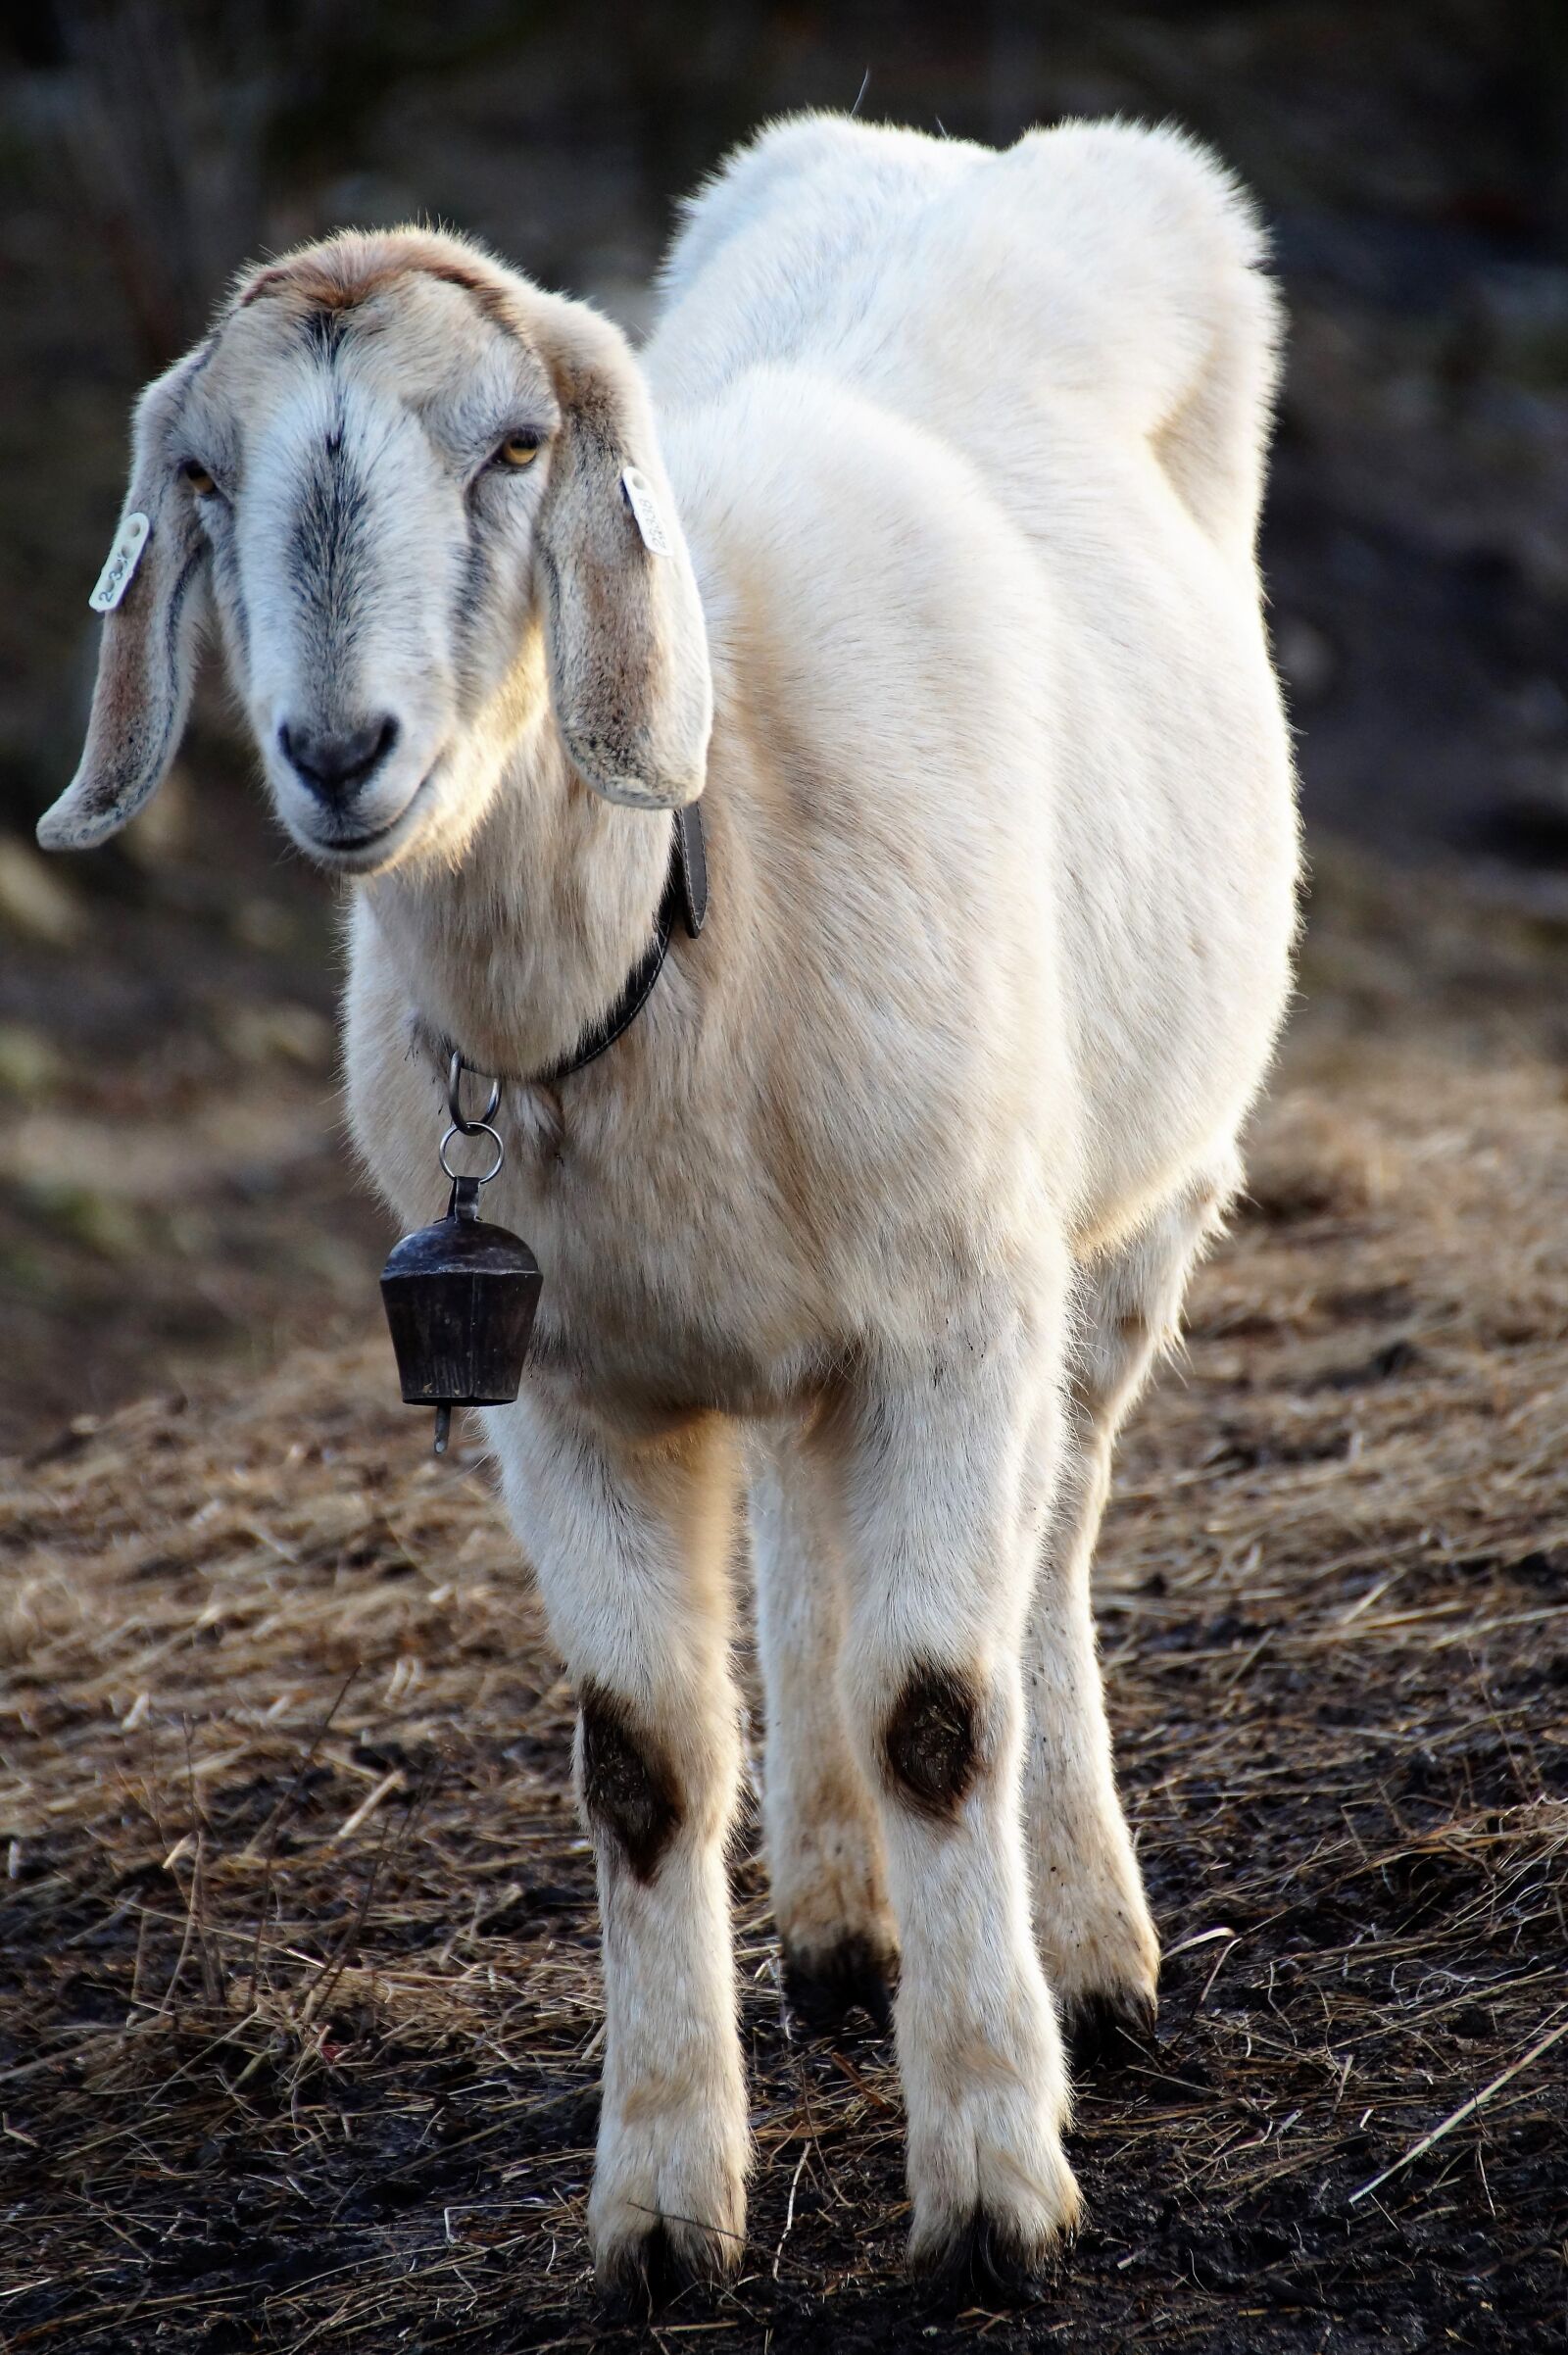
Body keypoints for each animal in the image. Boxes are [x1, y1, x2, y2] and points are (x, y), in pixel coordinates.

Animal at [40, 112, 1299, 2295]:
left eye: (514, 447)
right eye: (203, 473)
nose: (339, 750)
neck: (697, 877)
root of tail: (953, 153)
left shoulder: (953, 1315)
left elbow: (938, 1706)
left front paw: (991, 2187)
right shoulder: (566, 1388)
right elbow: (639, 1762)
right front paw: (658, 2207)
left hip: (1124, 1224)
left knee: (1045, 1552)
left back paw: (1088, 1948)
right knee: (804, 1543)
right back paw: (835, 1928)